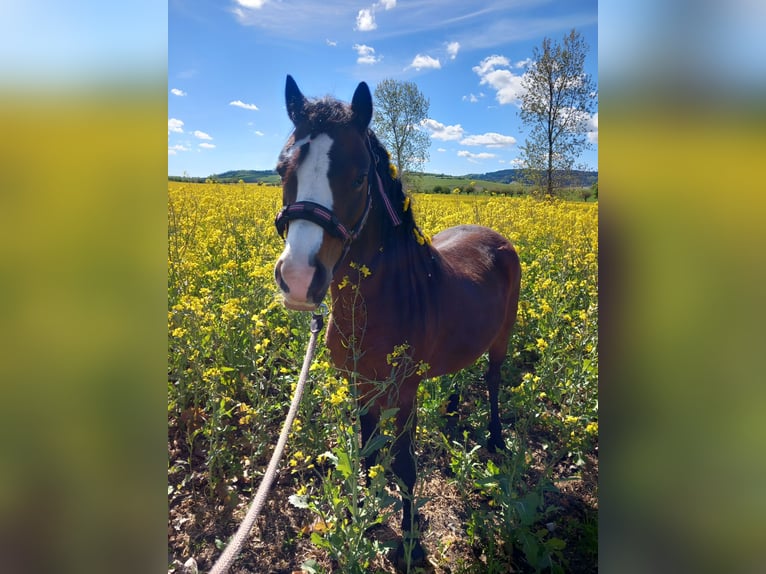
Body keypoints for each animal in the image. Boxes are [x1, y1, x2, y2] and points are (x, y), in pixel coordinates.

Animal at [273, 75, 521, 569]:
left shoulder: (404, 390)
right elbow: (368, 454)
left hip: (502, 339)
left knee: (493, 379)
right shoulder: (360, 384)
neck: (377, 301)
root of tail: (495, 238)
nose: (298, 279)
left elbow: (405, 466)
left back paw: (496, 440)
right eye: (281, 170)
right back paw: (452, 414)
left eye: (359, 177)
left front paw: (410, 543)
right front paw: (367, 519)